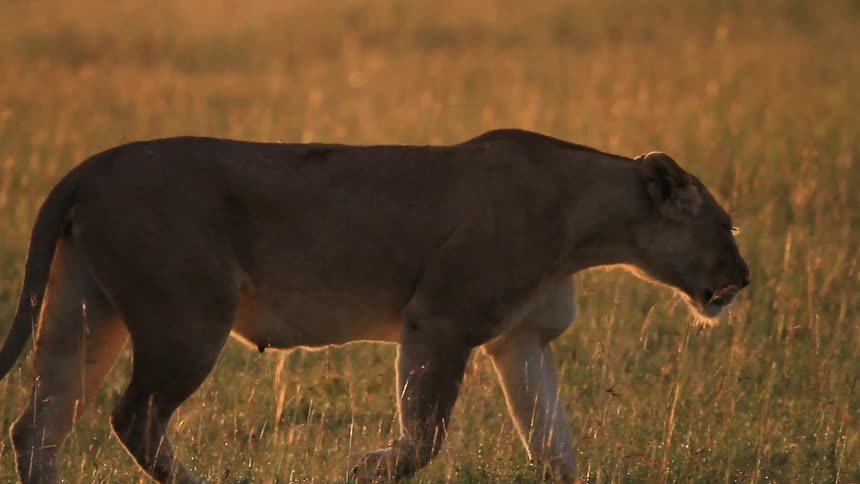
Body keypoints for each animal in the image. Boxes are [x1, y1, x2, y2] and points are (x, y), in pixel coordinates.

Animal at [0, 129, 749, 483]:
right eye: (725, 225)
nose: (744, 280)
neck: (584, 224)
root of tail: (88, 167)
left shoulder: (522, 340)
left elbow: (552, 443)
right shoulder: (440, 320)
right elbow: (425, 435)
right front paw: (367, 468)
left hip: (83, 315)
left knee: (37, 427)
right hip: (187, 320)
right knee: (133, 418)